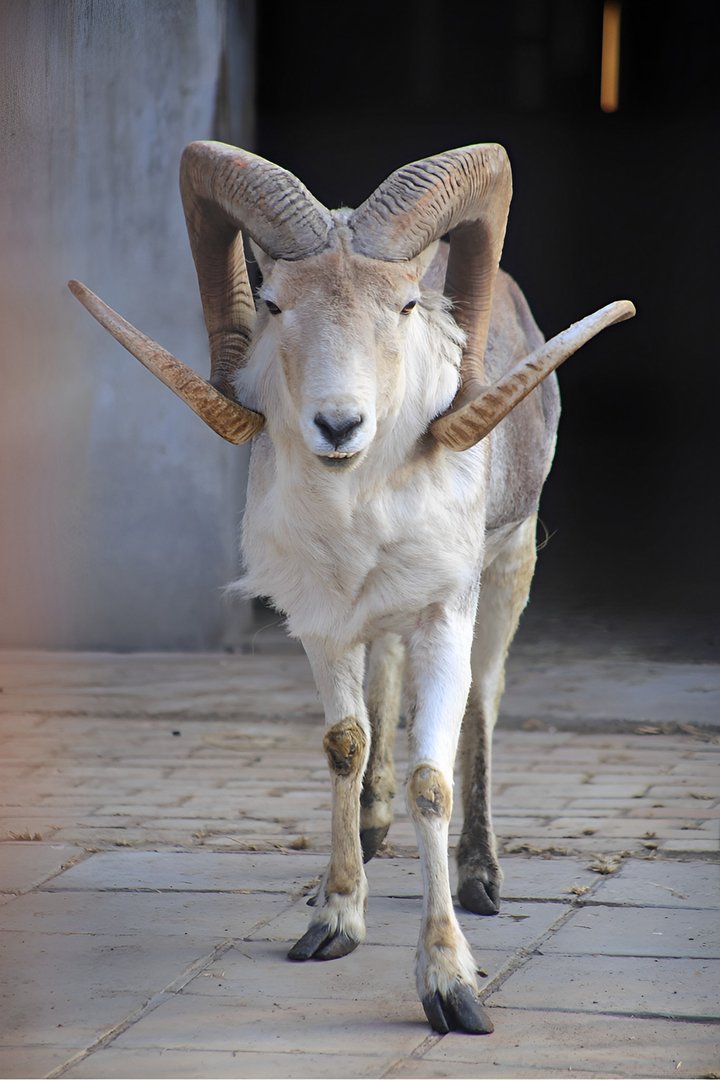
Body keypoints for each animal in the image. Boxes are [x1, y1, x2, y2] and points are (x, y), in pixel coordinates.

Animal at [69, 140, 634, 1035]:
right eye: (272, 302)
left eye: (403, 306)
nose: (339, 427)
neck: (356, 514)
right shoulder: (323, 624)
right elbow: (348, 743)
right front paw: (333, 921)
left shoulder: (446, 614)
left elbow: (433, 780)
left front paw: (452, 989)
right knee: (384, 690)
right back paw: (371, 835)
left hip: (508, 575)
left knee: (482, 703)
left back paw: (482, 879)